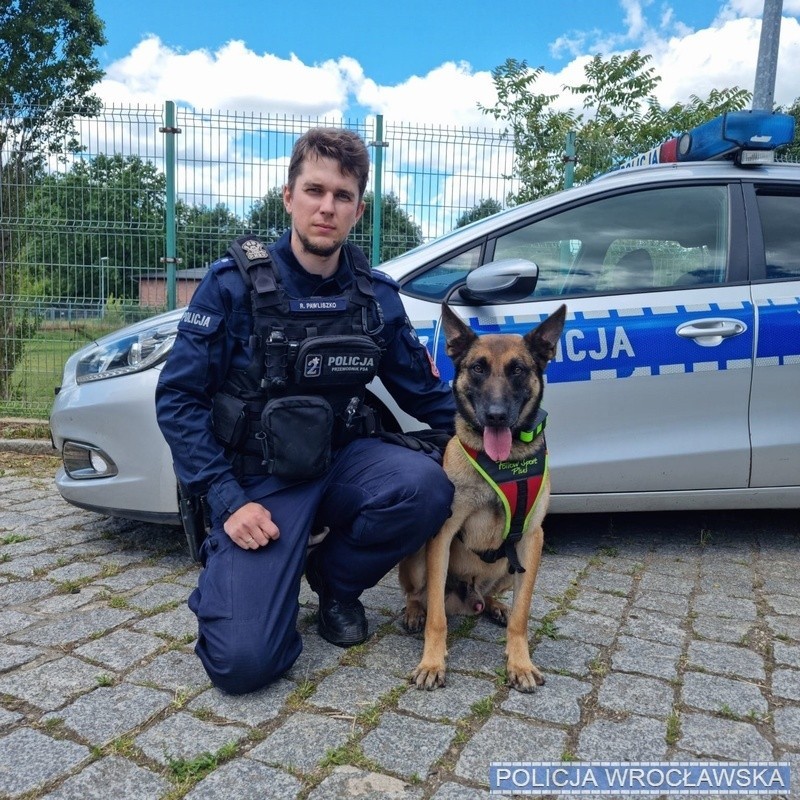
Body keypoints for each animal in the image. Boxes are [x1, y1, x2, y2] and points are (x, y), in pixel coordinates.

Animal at [398, 304, 564, 692]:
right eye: (478, 368)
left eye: (518, 370)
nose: (496, 416)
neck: (502, 464)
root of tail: (467, 598)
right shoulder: (441, 536)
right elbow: (437, 618)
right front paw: (432, 662)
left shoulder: (533, 539)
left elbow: (523, 614)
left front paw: (520, 662)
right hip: (417, 557)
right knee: (419, 595)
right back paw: (414, 611)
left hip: (509, 564)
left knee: (495, 595)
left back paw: (495, 606)